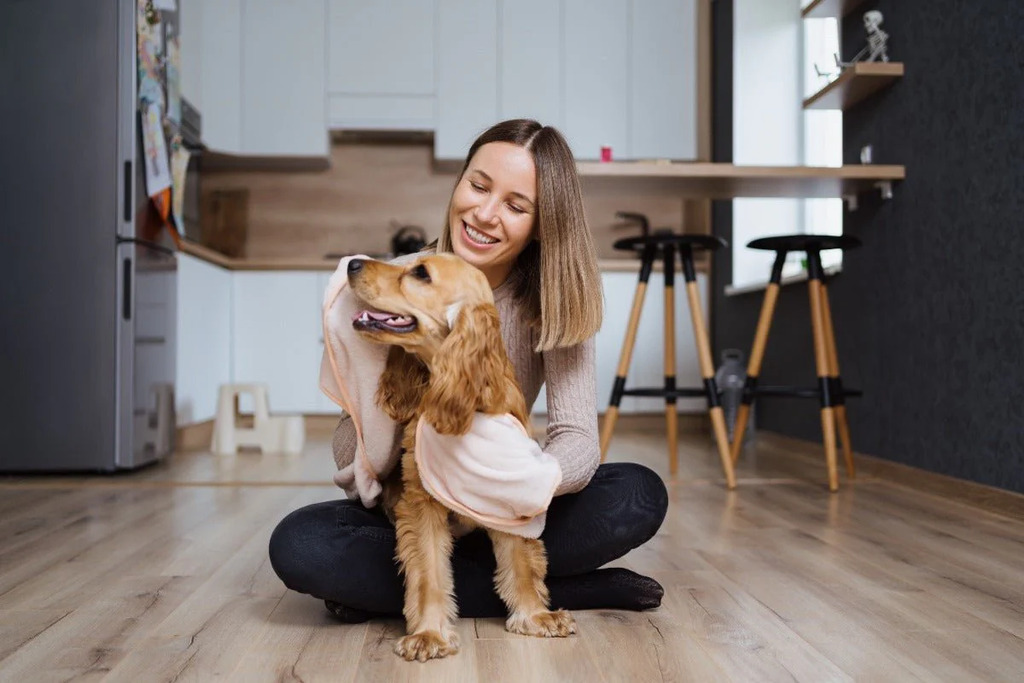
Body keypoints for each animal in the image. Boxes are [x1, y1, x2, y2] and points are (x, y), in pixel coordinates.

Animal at [348, 252, 577, 663]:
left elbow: (520, 562)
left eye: (421, 273)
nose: (352, 264)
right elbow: (429, 571)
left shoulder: (510, 493)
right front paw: (428, 634)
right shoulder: (420, 502)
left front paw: (536, 615)